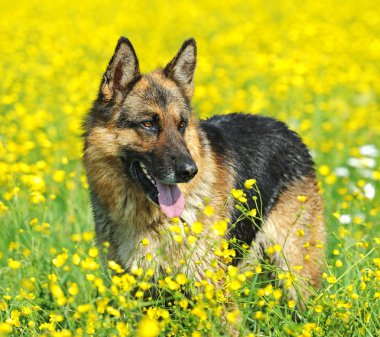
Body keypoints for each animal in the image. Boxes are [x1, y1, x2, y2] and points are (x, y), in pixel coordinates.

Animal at [82, 36, 324, 302]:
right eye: (148, 124)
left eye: (181, 124)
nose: (189, 171)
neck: (151, 219)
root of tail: (287, 129)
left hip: (296, 276)